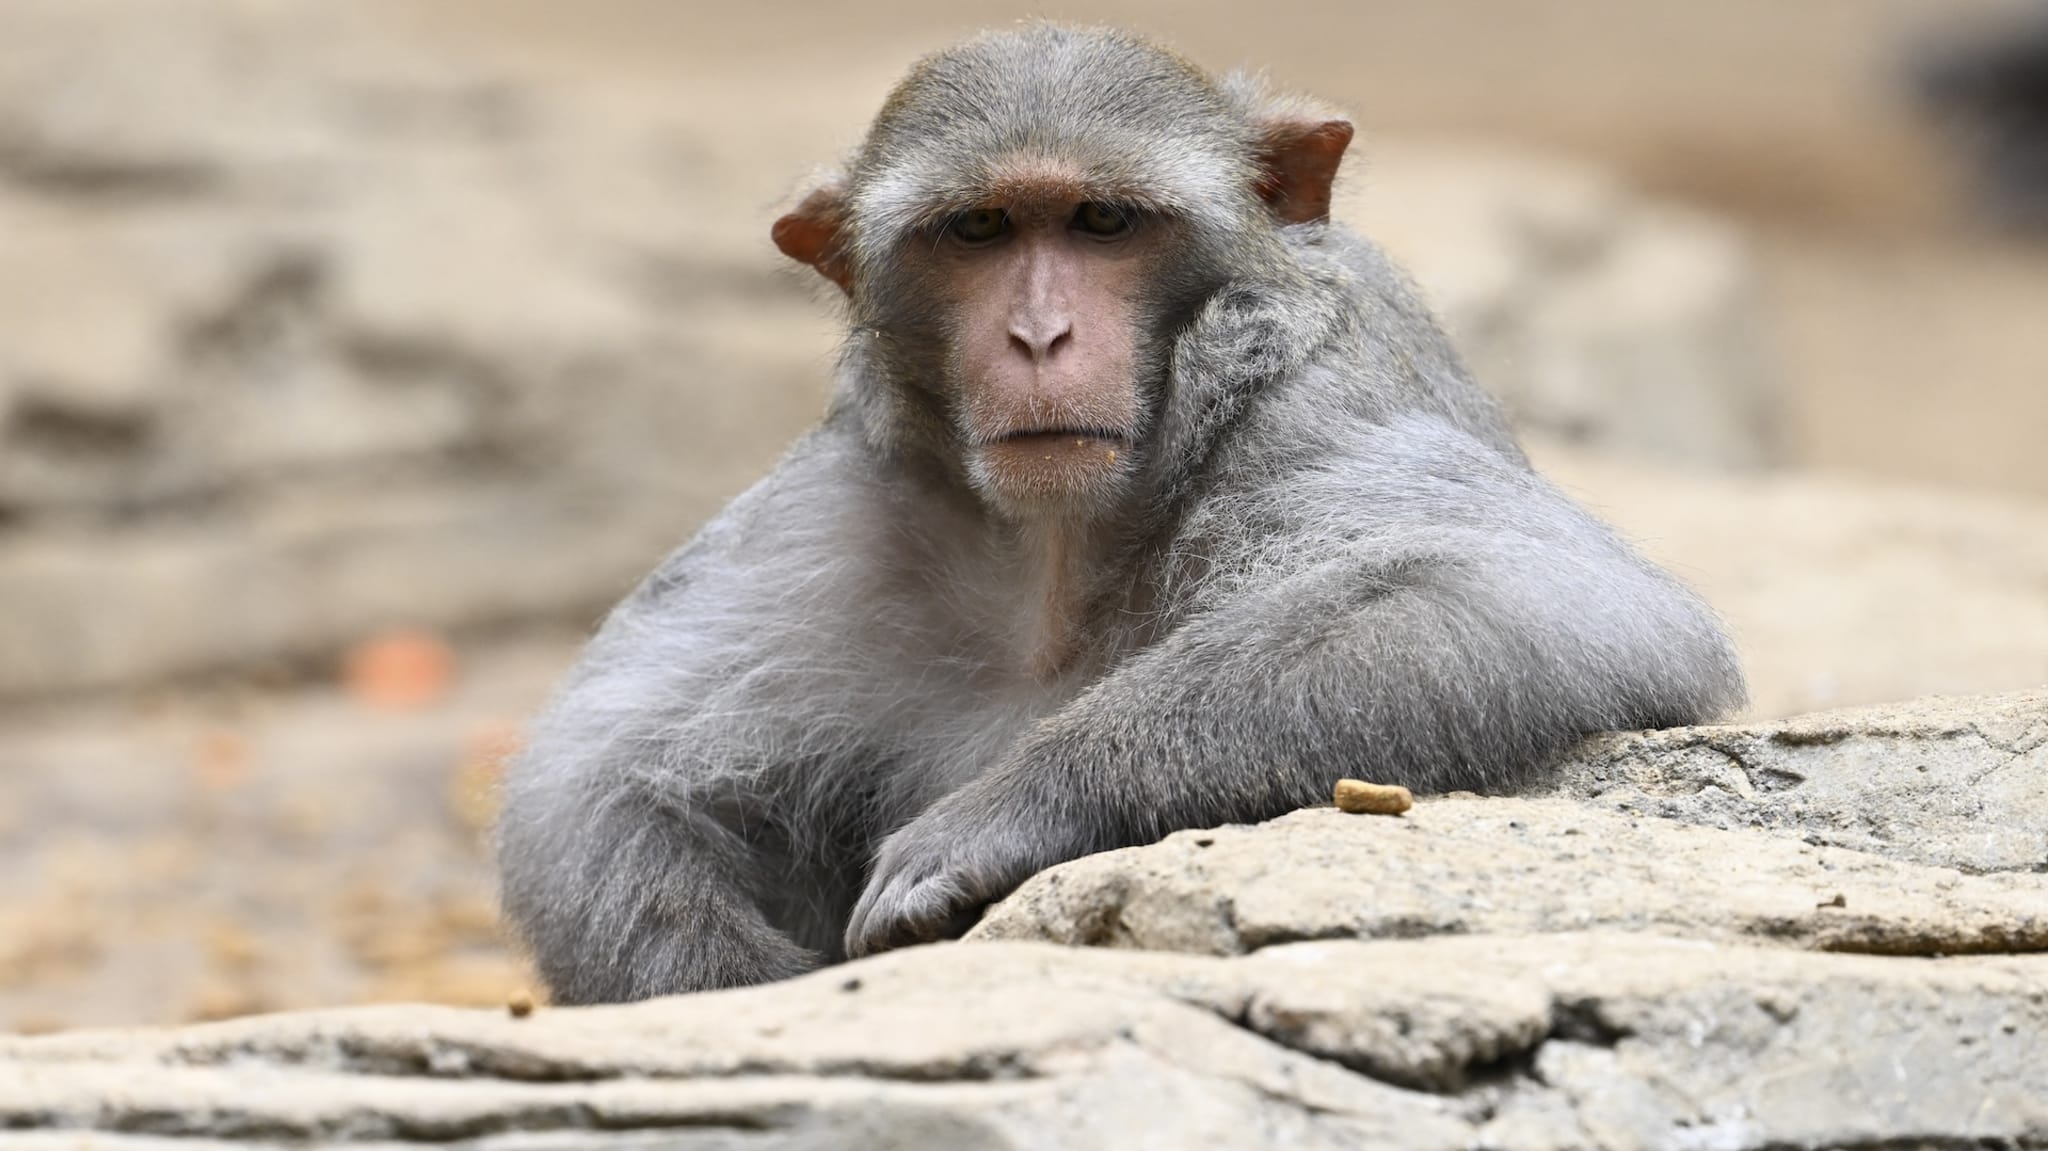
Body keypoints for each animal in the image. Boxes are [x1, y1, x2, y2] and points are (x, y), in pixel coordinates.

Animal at [496, 24, 1745, 1004]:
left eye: (1100, 221)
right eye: (978, 231)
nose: (1037, 336)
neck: (1056, 547)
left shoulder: (1309, 410)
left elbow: (1529, 586)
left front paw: (1015, 804)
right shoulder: (844, 504)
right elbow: (591, 775)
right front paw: (732, 983)